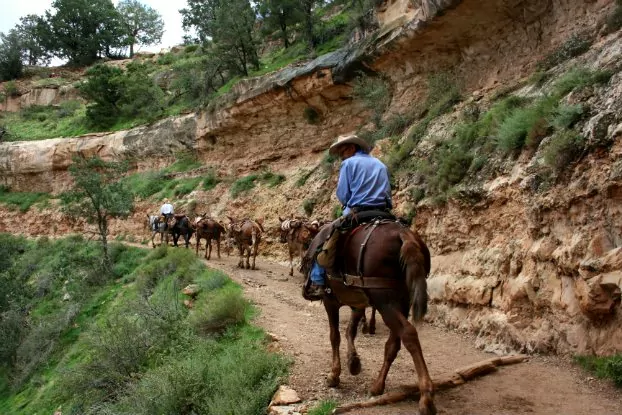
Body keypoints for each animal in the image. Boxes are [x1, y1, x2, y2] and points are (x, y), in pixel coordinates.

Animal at [310, 219, 434, 414]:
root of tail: (404, 234)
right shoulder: (358, 303)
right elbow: (350, 331)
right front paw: (353, 362)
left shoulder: (330, 301)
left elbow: (335, 336)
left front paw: (334, 375)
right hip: (401, 302)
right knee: (393, 344)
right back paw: (378, 385)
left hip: (384, 301)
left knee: (408, 333)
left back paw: (426, 397)